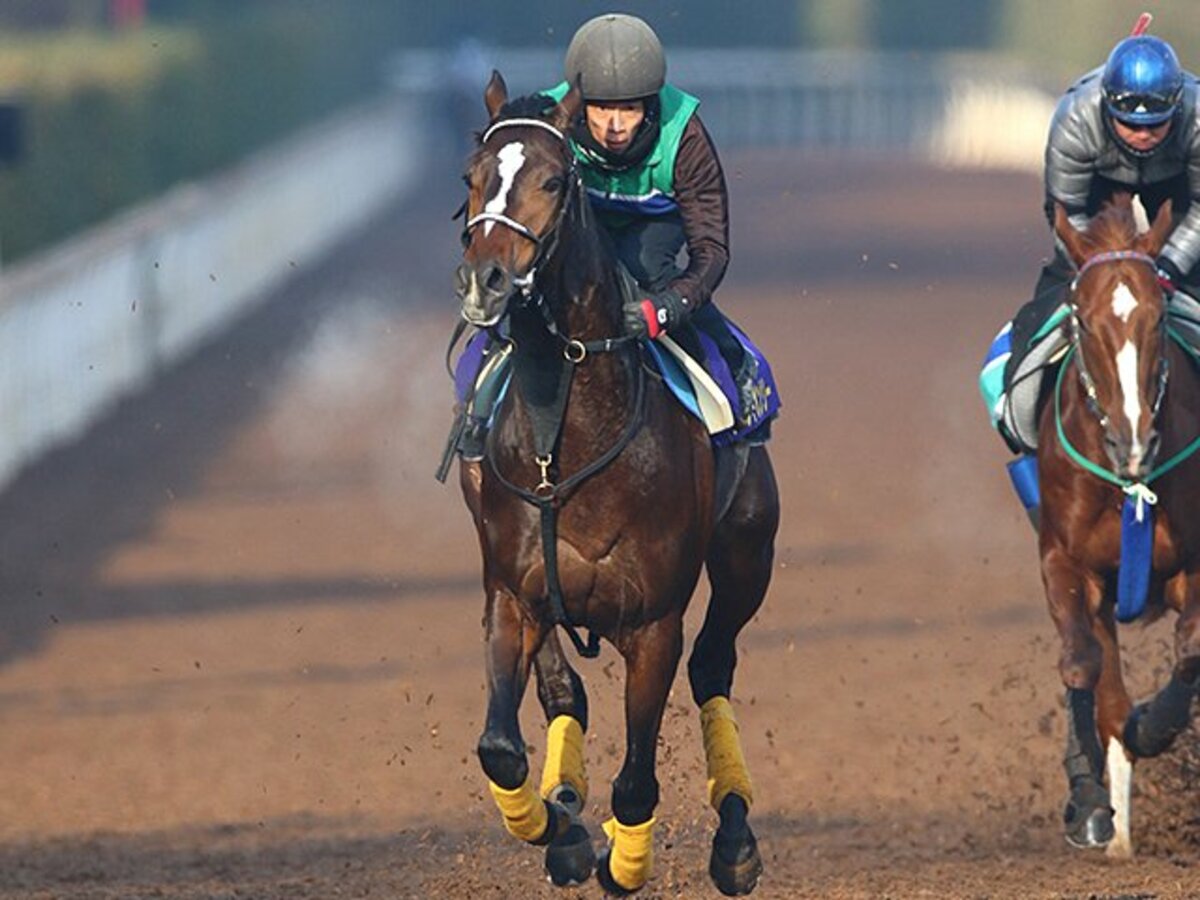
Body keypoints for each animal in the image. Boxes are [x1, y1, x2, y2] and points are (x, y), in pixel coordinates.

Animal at [450, 72, 780, 895]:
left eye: (553, 179)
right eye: (471, 176)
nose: (486, 280)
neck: (569, 449)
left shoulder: (654, 622)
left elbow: (637, 778)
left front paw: (624, 859)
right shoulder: (512, 594)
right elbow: (502, 746)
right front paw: (560, 830)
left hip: (746, 558)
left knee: (713, 667)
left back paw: (734, 839)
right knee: (563, 692)